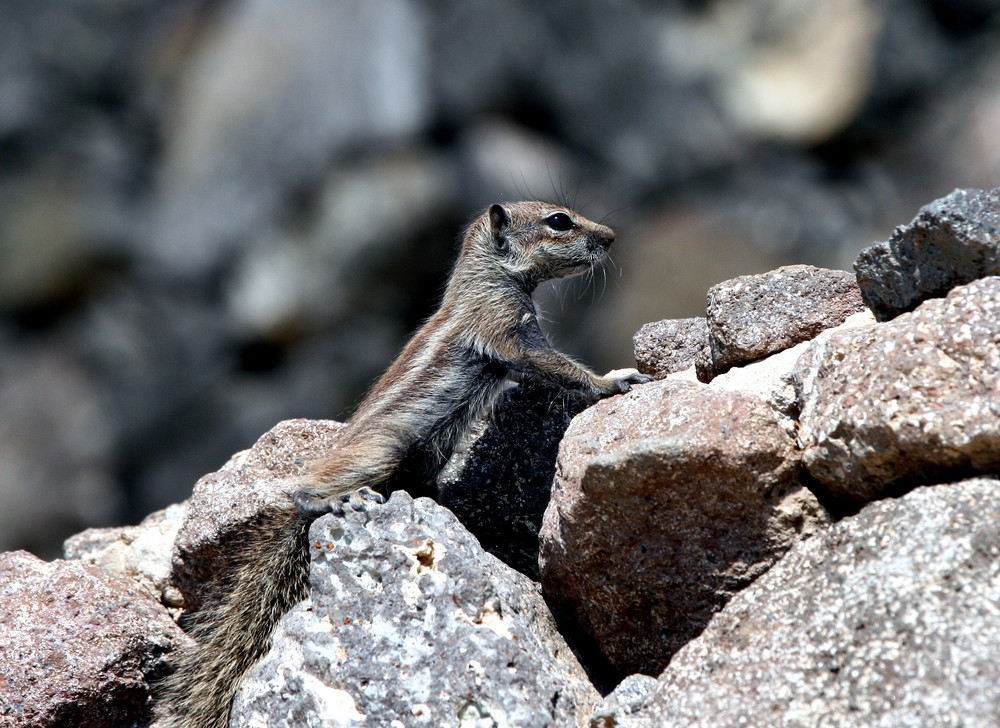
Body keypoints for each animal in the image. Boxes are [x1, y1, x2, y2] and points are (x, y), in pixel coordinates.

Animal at [160, 200, 652, 728]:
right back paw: (337, 500)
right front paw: (614, 380)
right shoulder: (508, 331)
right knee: (304, 490)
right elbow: (559, 368)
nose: (611, 236)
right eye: (559, 221)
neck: (487, 278)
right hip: (385, 450)